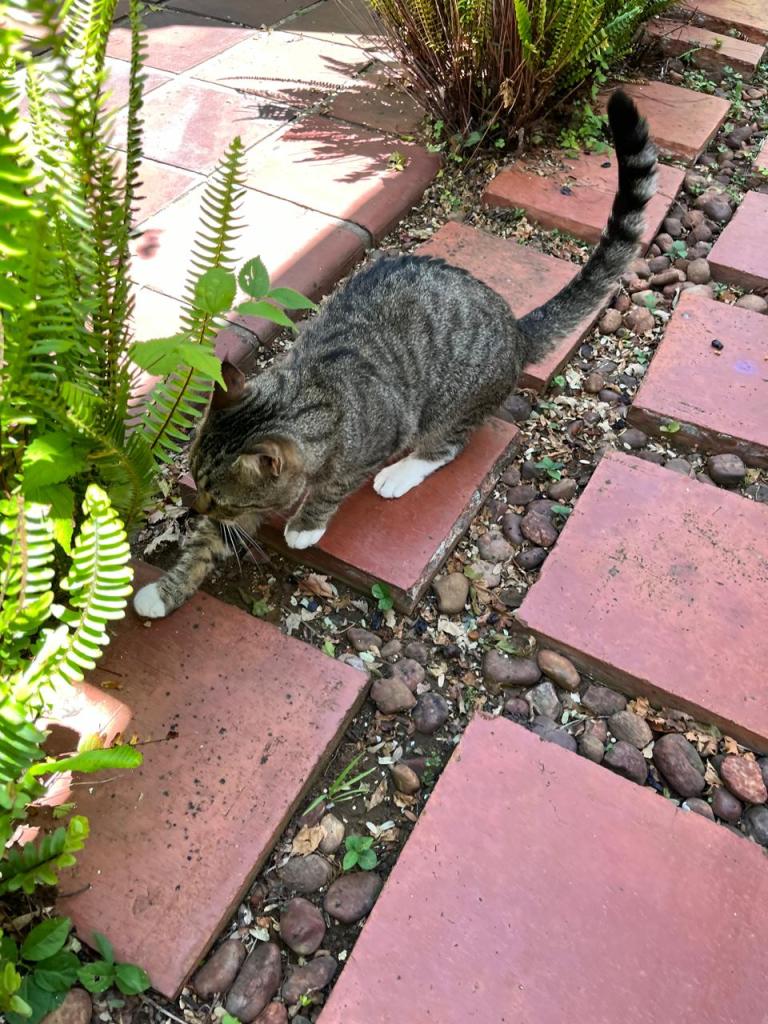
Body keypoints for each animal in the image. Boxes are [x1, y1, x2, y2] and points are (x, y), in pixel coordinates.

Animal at [134, 89, 656, 619]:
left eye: (221, 498)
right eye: (198, 484)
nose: (197, 506)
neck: (313, 393)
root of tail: (514, 328)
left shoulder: (380, 435)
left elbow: (334, 486)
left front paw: (306, 523)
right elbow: (204, 547)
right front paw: (163, 591)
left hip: (448, 403)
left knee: (447, 445)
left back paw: (401, 473)